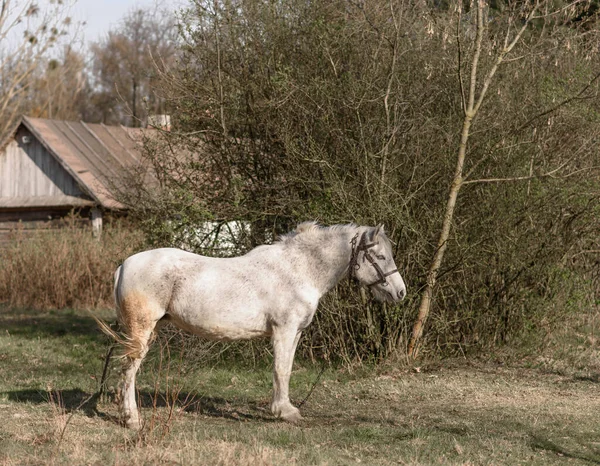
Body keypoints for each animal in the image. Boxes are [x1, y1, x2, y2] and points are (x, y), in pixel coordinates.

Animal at [98, 222, 408, 430]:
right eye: (380, 257)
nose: (401, 292)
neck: (298, 270)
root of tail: (123, 266)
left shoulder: (295, 333)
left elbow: (287, 369)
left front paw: (285, 408)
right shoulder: (284, 330)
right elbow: (281, 370)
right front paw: (284, 412)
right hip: (141, 331)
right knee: (129, 372)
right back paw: (132, 419)